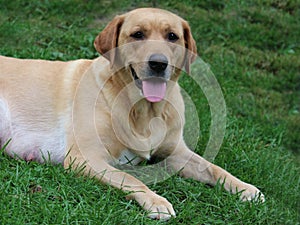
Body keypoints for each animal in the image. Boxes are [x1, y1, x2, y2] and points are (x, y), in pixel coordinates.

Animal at [0, 7, 262, 221]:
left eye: (172, 36)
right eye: (137, 34)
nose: (158, 63)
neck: (142, 110)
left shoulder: (176, 153)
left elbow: (214, 168)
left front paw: (246, 188)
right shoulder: (85, 158)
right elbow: (132, 179)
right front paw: (157, 202)